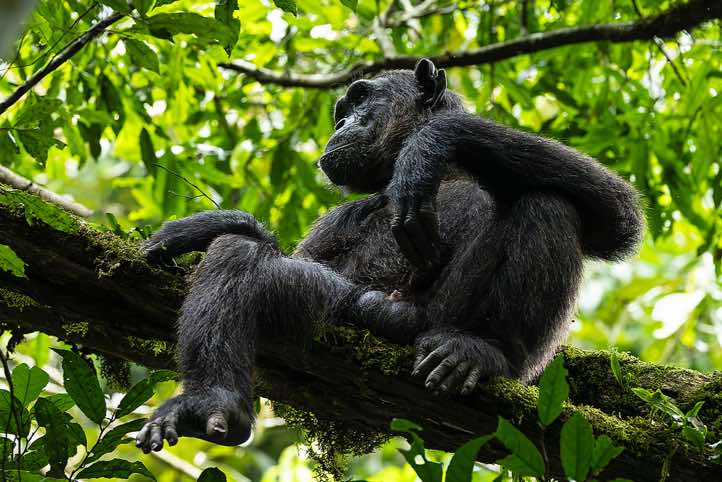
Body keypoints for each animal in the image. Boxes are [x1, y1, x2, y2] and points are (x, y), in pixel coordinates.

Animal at [135, 59, 643, 452]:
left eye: (361, 100)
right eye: (342, 111)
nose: (340, 125)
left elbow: (616, 213)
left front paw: (430, 144)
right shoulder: (341, 217)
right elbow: (297, 251)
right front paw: (206, 226)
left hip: (447, 324)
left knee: (551, 203)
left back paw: (485, 351)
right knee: (245, 258)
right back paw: (214, 402)